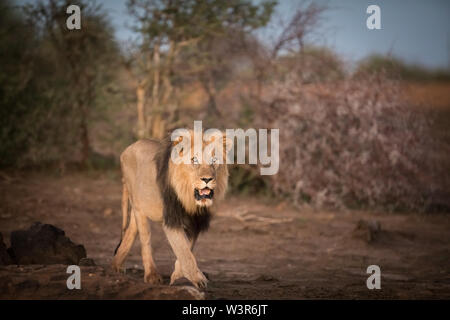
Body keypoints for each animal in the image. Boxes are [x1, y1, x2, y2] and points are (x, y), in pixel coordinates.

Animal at [111, 129, 230, 288]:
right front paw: (197, 279)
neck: (189, 198)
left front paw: (178, 276)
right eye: (194, 160)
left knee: (131, 229)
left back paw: (116, 265)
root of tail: (128, 148)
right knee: (145, 240)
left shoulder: (196, 222)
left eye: (214, 160)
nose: (207, 179)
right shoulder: (171, 219)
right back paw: (151, 275)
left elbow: (187, 248)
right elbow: (183, 250)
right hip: (137, 206)